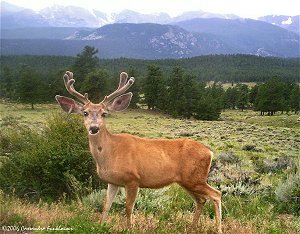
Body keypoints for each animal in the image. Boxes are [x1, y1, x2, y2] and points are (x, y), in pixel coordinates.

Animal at [55, 70, 221, 233]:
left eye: (104, 113)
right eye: (85, 112)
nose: (94, 128)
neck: (110, 154)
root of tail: (209, 152)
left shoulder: (133, 179)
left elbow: (128, 207)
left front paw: (129, 228)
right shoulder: (112, 181)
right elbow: (106, 206)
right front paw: (100, 226)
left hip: (195, 178)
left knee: (216, 194)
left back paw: (218, 229)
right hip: (187, 181)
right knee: (201, 200)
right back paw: (192, 228)